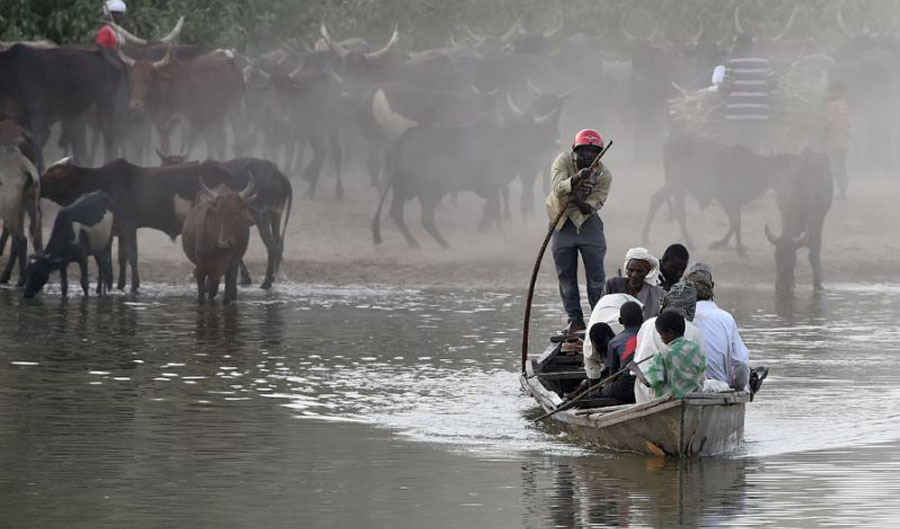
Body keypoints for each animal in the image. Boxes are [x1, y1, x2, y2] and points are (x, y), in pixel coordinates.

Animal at [119, 50, 248, 161]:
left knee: (238, 139)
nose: (135, 104)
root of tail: (231, 61)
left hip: (235, 108)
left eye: (147, 79)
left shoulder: (186, 121)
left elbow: (184, 150)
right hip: (215, 115)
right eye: (132, 80)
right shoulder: (161, 126)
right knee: (221, 142)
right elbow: (164, 149)